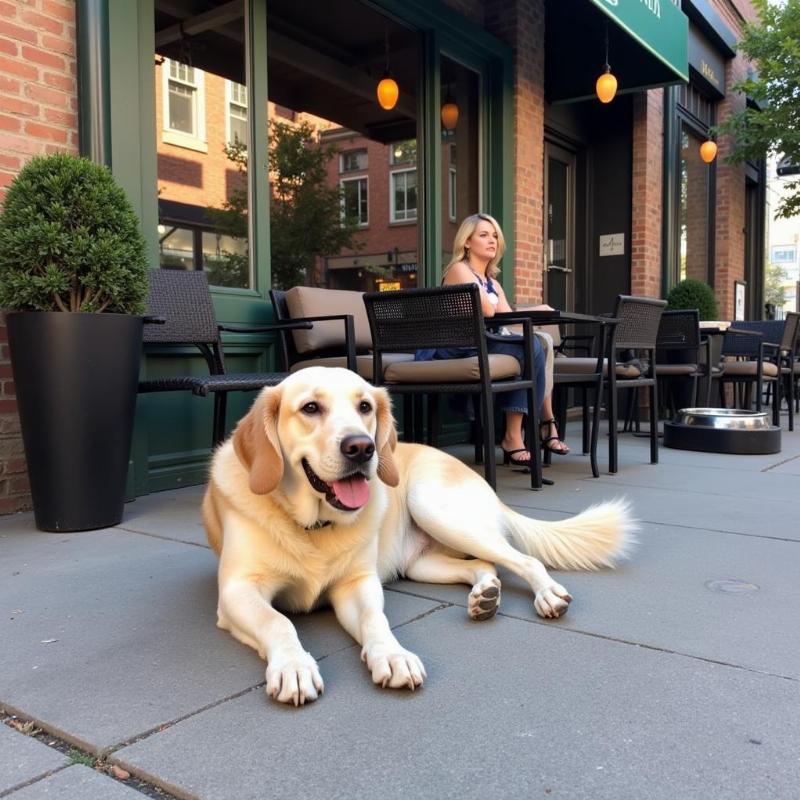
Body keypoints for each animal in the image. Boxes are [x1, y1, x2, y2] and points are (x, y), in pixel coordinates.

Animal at [203, 366, 636, 704]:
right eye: (310, 408)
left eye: (365, 407)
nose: (361, 448)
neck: (312, 525)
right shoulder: (238, 591)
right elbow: (279, 621)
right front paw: (294, 665)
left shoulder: (358, 584)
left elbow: (375, 619)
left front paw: (392, 655)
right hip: (422, 563)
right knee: (486, 564)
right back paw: (485, 595)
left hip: (433, 506)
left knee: (522, 559)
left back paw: (547, 594)